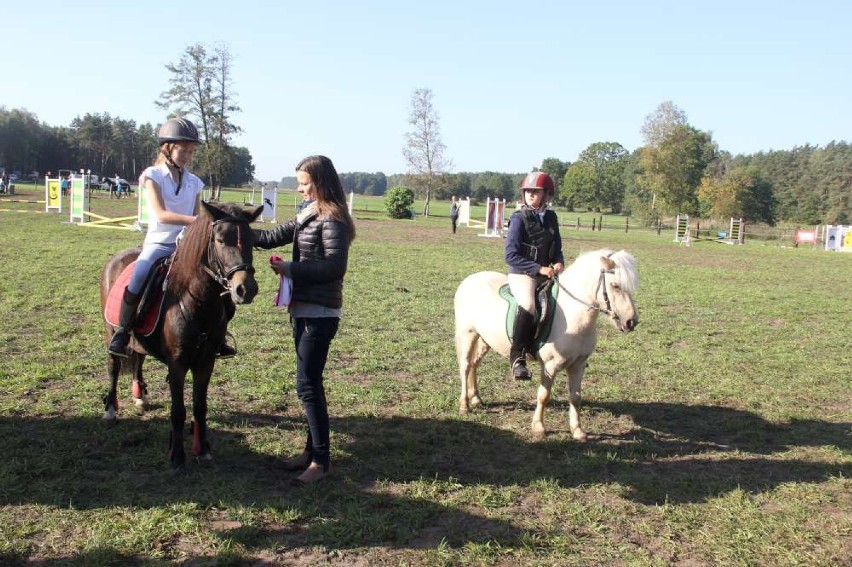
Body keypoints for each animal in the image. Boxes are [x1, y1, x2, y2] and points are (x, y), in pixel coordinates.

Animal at [98, 202, 262, 468]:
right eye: (220, 240)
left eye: (252, 240)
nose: (245, 289)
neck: (193, 300)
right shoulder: (177, 364)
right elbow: (178, 411)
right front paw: (176, 456)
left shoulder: (206, 362)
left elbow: (199, 406)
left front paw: (202, 449)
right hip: (110, 331)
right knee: (114, 366)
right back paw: (111, 409)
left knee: (138, 359)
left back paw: (139, 396)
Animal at [452, 251, 640, 442]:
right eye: (615, 285)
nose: (631, 322)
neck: (573, 316)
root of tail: (470, 279)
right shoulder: (550, 365)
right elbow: (543, 395)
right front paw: (539, 428)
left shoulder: (578, 365)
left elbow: (575, 397)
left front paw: (577, 431)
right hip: (467, 334)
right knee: (465, 366)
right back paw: (464, 405)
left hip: (485, 340)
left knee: (475, 364)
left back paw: (476, 398)